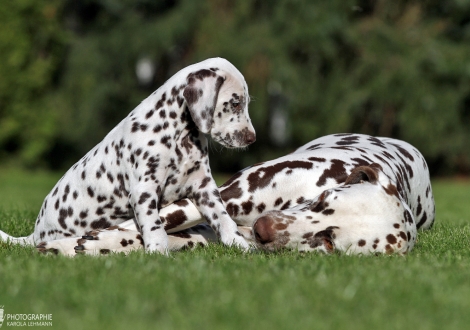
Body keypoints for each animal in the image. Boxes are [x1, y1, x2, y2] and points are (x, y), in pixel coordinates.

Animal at [0, 56, 258, 254]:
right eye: (235, 103)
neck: (179, 136)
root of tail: (34, 236)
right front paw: (158, 251)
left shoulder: (204, 188)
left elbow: (223, 219)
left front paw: (240, 244)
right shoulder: (145, 190)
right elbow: (155, 227)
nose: (252, 138)